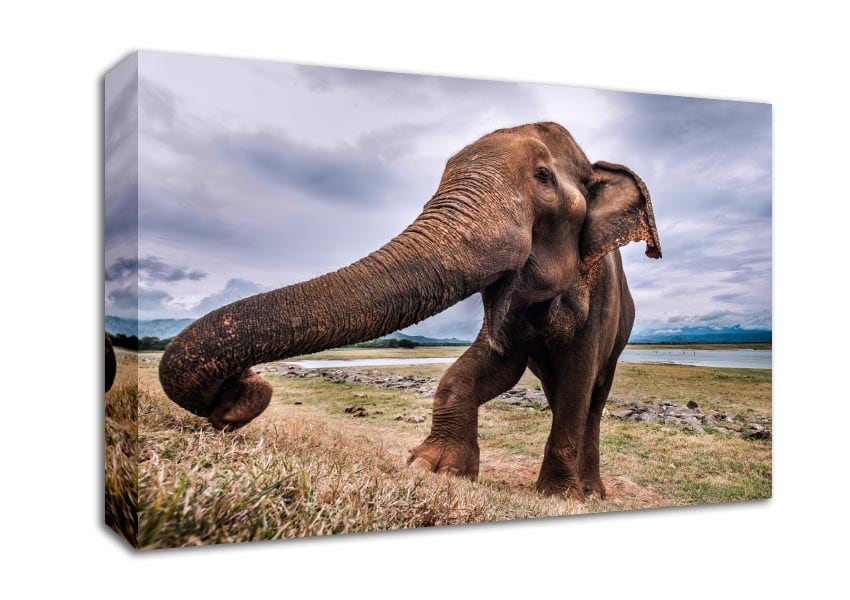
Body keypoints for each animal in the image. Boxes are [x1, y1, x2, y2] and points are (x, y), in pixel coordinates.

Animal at [158, 122, 661, 499]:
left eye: (542, 176)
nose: (241, 391)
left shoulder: (600, 297)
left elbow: (578, 372)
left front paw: (556, 495)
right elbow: (493, 364)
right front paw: (431, 468)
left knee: (591, 395)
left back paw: (589, 491)